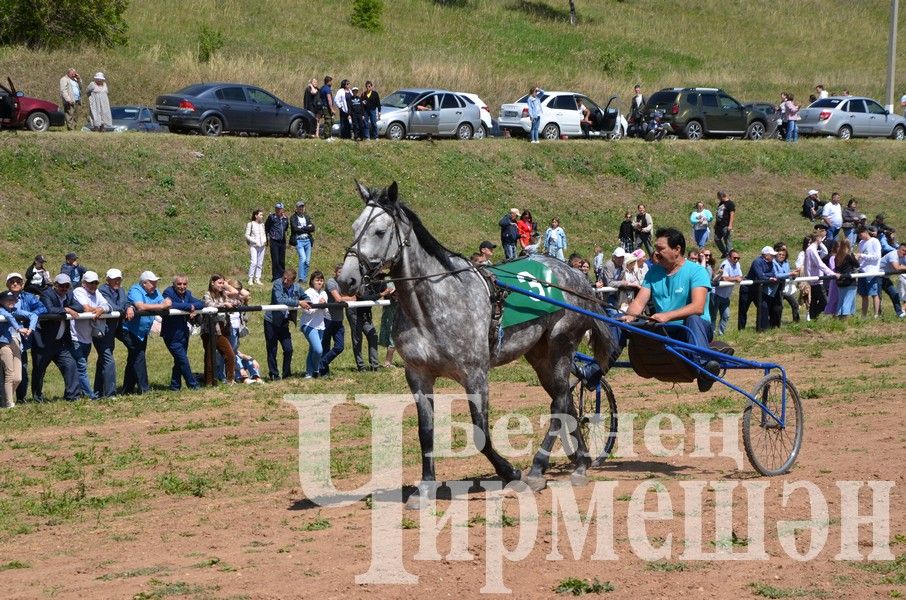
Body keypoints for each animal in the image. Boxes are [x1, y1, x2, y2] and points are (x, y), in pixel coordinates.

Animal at [340, 180, 616, 504]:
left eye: (380, 231)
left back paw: (537, 469)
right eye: (355, 226)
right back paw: (581, 461)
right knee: (565, 402)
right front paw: (426, 486)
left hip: (561, 345)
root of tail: (576, 275)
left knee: (560, 402)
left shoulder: (476, 375)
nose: (347, 279)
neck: (437, 302)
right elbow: (425, 430)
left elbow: (481, 432)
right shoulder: (418, 375)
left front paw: (511, 472)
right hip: (539, 355)